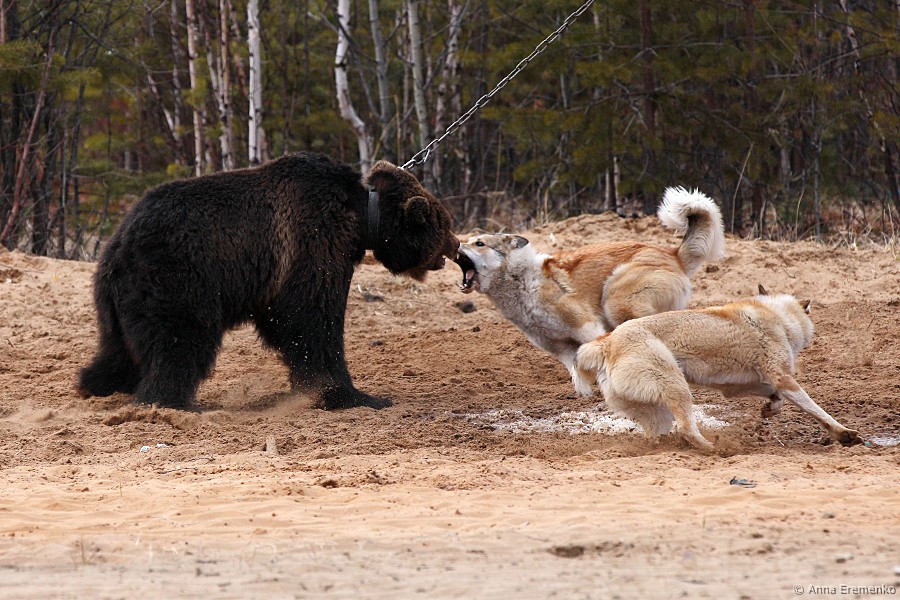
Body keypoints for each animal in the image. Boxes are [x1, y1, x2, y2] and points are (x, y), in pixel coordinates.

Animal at [77, 152, 459, 410]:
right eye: (444, 223)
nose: (455, 245)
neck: (361, 219)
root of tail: (118, 242)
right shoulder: (312, 241)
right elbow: (311, 320)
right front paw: (351, 394)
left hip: (119, 297)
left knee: (118, 347)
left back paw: (98, 385)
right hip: (177, 278)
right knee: (179, 341)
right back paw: (168, 400)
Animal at [453, 187, 725, 375]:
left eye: (479, 243)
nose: (455, 244)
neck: (522, 281)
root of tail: (673, 255)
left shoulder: (587, 326)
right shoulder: (557, 346)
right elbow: (576, 372)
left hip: (615, 302)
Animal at [573, 286, 862, 450]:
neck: (779, 317)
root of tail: (608, 342)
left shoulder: (739, 386)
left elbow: (775, 398)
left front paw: (769, 409)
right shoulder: (783, 378)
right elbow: (817, 410)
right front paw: (844, 434)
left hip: (657, 409)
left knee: (659, 436)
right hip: (678, 389)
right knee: (686, 429)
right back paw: (714, 449)